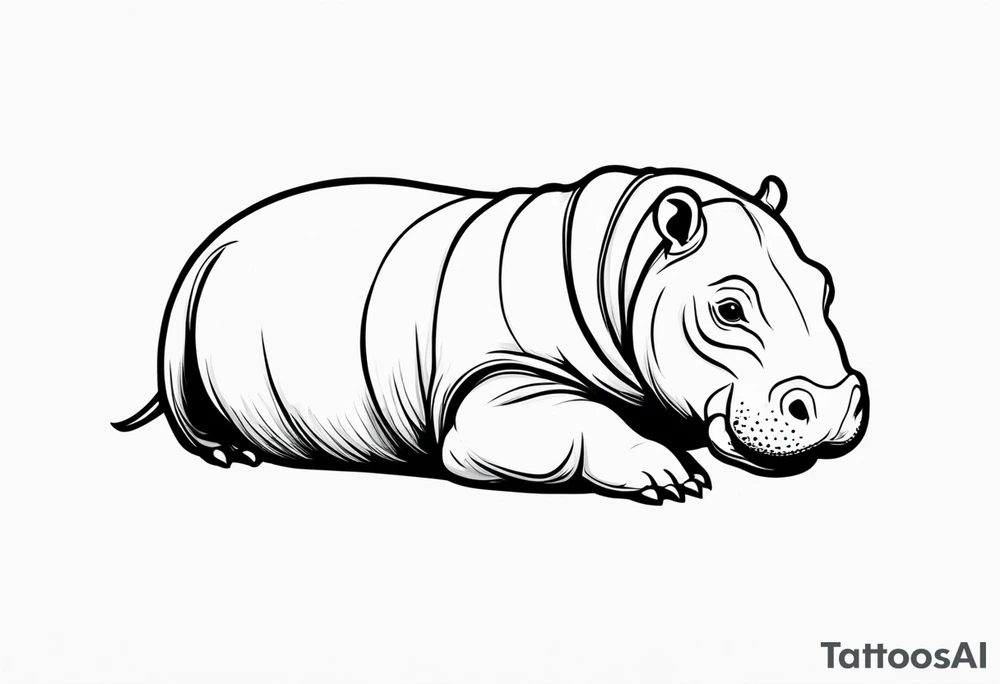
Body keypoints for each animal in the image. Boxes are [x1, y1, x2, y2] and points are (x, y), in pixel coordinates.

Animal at [113, 166, 869, 505]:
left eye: (826, 288)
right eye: (728, 310)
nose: (832, 407)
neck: (621, 267)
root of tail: (217, 234)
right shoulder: (494, 386)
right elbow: (579, 420)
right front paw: (670, 478)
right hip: (184, 300)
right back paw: (230, 455)